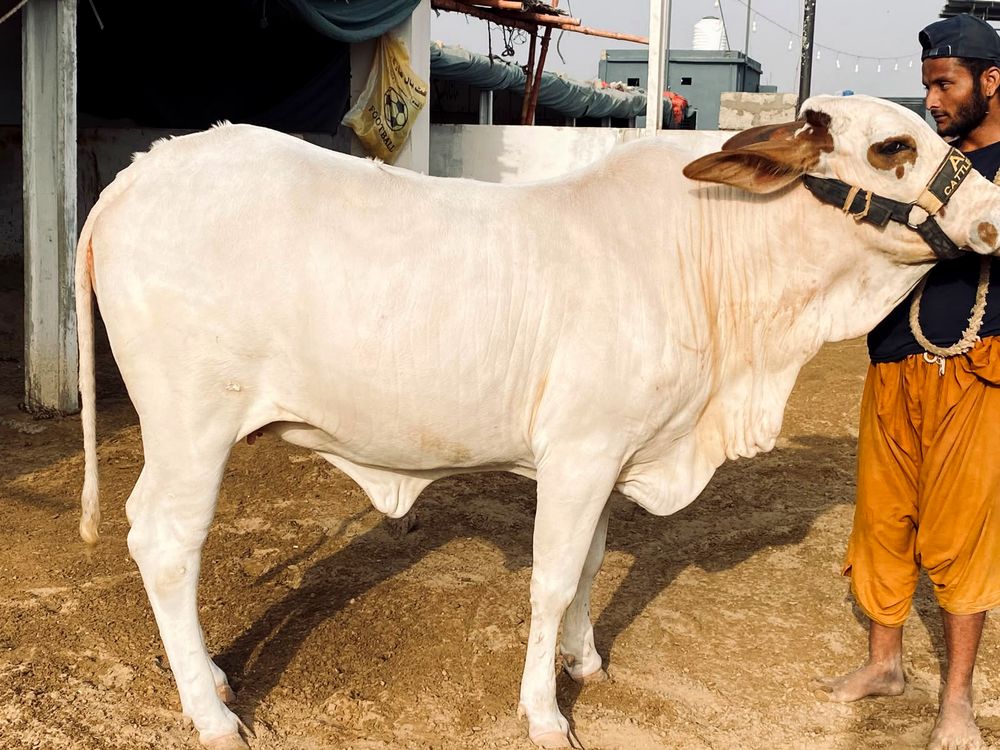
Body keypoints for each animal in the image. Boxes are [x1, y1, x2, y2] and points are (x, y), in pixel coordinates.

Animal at [75, 94, 1000, 749]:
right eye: (894, 147)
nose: (994, 207)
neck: (709, 256)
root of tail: (138, 175)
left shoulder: (612, 457)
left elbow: (589, 562)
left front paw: (583, 660)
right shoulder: (580, 454)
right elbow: (552, 580)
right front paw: (546, 713)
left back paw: (213, 677)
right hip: (191, 426)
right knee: (164, 542)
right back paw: (209, 711)